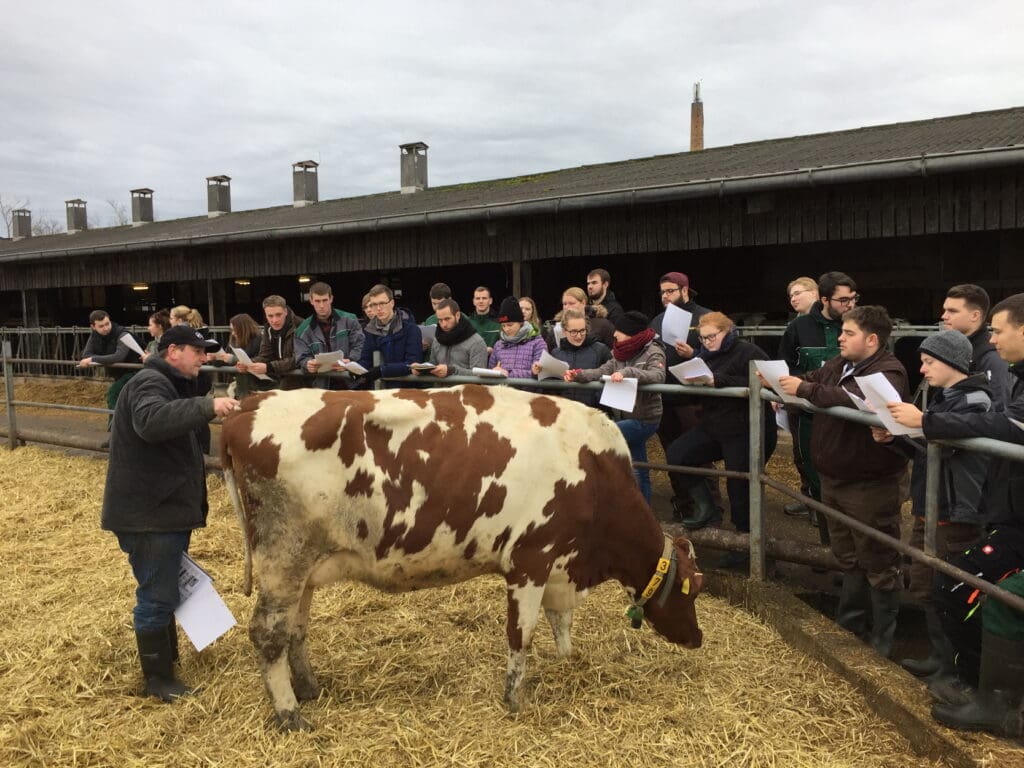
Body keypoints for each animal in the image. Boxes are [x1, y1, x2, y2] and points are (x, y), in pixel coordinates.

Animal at [222, 385, 704, 733]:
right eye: (693, 589)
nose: (697, 638)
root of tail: (250, 405)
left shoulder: (558, 568)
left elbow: (560, 626)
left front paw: (566, 662)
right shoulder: (530, 560)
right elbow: (521, 636)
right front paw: (514, 701)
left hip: (304, 565)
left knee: (295, 629)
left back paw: (308, 687)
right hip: (282, 557)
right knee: (267, 634)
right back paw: (290, 715)